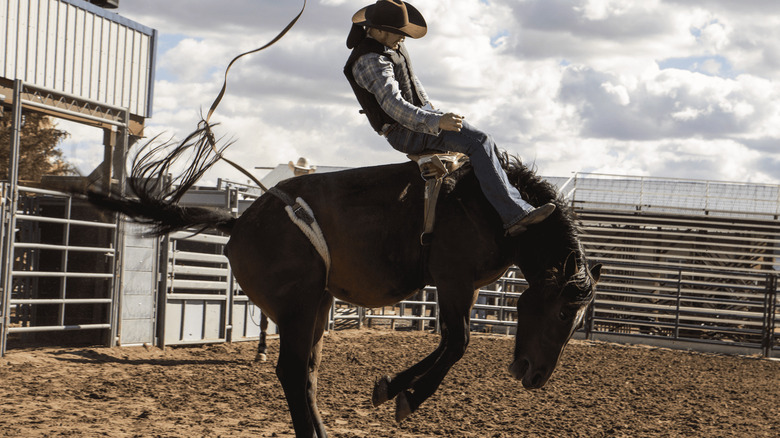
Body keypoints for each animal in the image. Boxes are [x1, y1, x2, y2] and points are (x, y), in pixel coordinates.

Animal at [90, 133, 604, 438]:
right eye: (564, 310)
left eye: (580, 316)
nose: (536, 377)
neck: (494, 208)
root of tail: (239, 221)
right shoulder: (452, 280)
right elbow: (457, 342)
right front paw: (405, 396)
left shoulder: (467, 287)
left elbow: (448, 343)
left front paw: (389, 387)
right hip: (298, 306)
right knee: (293, 371)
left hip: (318, 306)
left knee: (307, 373)